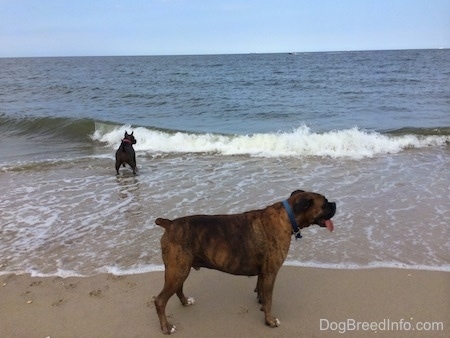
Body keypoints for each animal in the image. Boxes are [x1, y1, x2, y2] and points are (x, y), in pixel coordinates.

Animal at [154, 189, 334, 334]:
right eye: (325, 203)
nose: (335, 203)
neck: (287, 216)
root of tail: (170, 224)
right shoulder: (271, 272)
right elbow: (270, 300)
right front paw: (270, 320)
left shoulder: (264, 272)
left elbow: (261, 290)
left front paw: (260, 302)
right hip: (178, 270)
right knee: (160, 301)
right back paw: (167, 327)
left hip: (180, 270)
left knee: (178, 288)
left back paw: (185, 302)